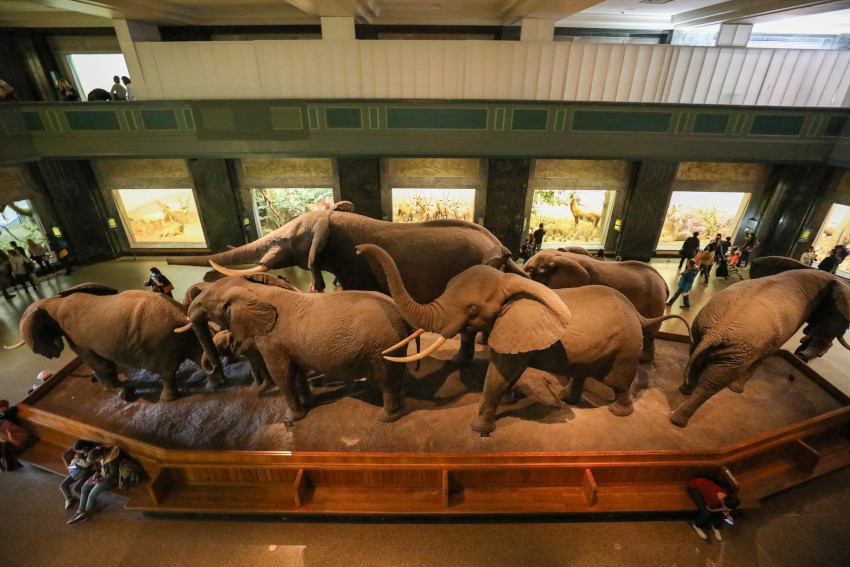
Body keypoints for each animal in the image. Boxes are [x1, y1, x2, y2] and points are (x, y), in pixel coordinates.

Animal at [4, 282, 224, 400]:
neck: (54, 302)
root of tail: (181, 313)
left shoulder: (76, 338)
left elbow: (97, 362)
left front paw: (118, 391)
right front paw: (122, 389)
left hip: (162, 341)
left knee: (167, 370)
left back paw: (166, 399)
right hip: (184, 336)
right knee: (197, 355)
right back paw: (214, 387)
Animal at [182, 272, 414, 424]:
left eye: (207, 303)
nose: (213, 370)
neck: (256, 291)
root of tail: (401, 314)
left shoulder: (270, 341)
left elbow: (281, 374)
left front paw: (290, 420)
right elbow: (298, 372)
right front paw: (310, 403)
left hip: (381, 348)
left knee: (386, 381)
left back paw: (385, 418)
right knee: (395, 379)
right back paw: (399, 410)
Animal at [524, 250, 668, 364]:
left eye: (531, 270)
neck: (558, 256)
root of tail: (664, 283)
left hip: (655, 303)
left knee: (650, 331)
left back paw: (643, 360)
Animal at [668, 268, 848, 428]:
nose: (801, 356)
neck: (826, 276)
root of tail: (716, 332)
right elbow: (763, 357)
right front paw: (736, 390)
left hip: (703, 329)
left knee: (698, 362)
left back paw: (684, 392)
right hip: (738, 352)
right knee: (714, 383)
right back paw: (678, 421)